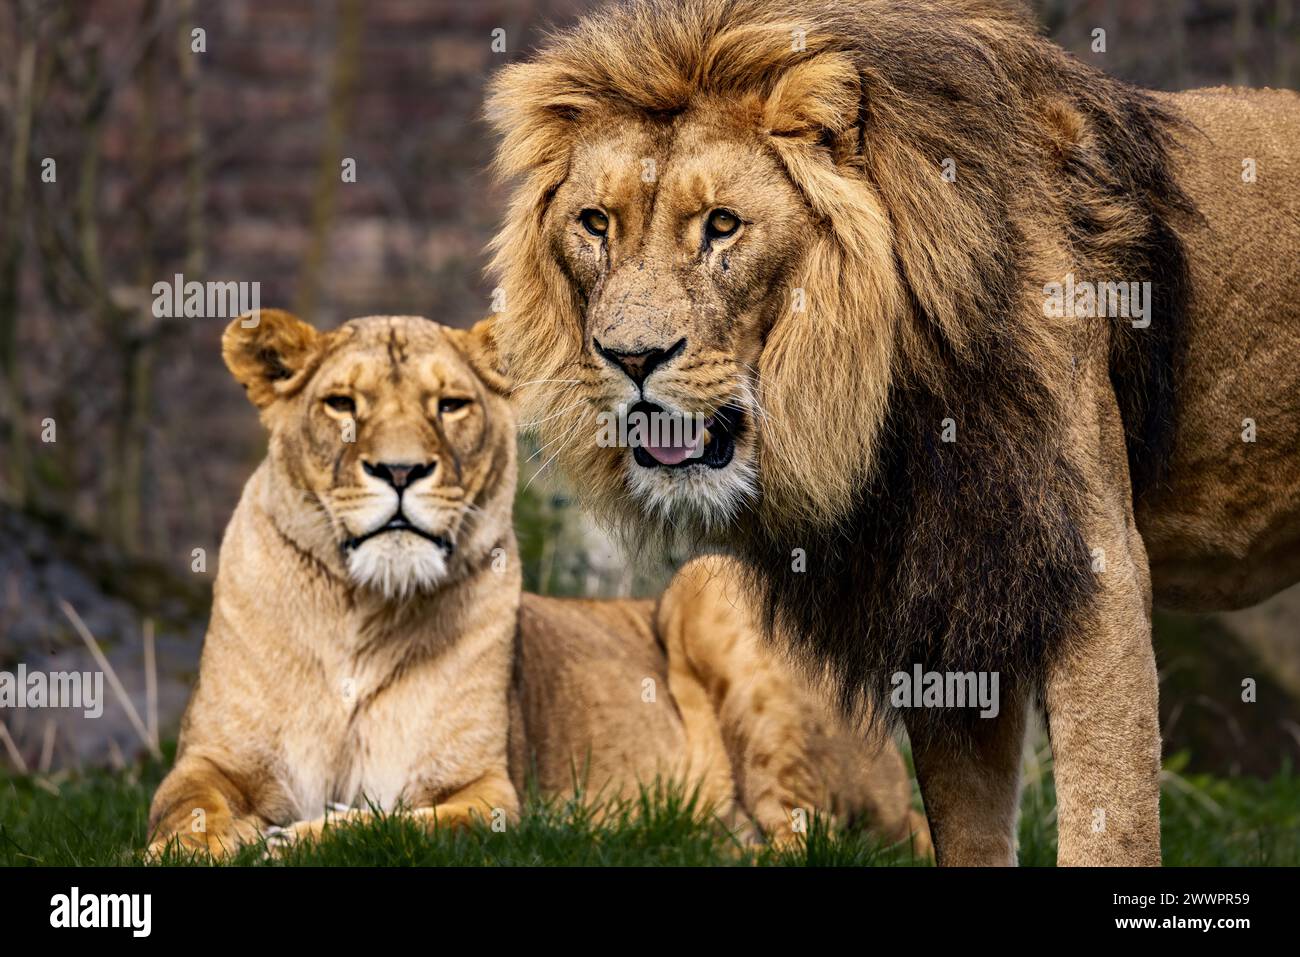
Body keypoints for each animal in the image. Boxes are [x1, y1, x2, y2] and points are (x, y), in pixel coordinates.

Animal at [146, 310, 928, 858]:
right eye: (341, 404)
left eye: (450, 405)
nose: (400, 471)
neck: (360, 610)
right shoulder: (209, 762)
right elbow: (182, 815)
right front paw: (201, 847)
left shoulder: (487, 794)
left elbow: (386, 825)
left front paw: (291, 840)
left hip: (710, 585)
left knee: (809, 836)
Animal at [484, 0, 1300, 866]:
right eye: (594, 224)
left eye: (723, 225)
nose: (631, 357)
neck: (887, 389)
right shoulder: (941, 587)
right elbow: (968, 829)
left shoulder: (1092, 569)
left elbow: (1111, 819)